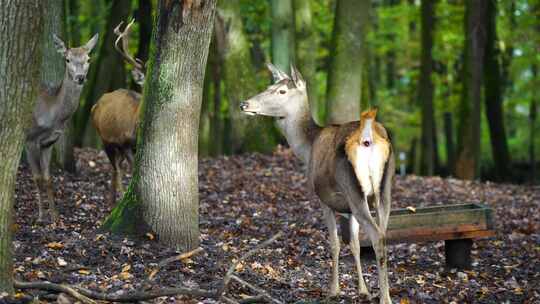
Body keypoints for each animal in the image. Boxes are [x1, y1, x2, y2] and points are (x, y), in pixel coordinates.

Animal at [25, 33, 99, 223]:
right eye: (67, 59)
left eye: (88, 58)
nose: (80, 77)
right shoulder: (29, 139)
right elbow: (37, 178)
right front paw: (41, 217)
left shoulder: (48, 142)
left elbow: (48, 178)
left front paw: (55, 217)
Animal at [91, 19, 146, 204]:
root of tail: (95, 104)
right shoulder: (125, 142)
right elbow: (131, 170)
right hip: (105, 139)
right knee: (116, 168)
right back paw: (113, 201)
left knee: (116, 167)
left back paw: (112, 199)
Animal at [239, 63, 392, 302]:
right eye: (269, 85)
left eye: (282, 91)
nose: (244, 104)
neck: (307, 148)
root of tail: (368, 138)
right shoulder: (347, 207)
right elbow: (355, 244)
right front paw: (363, 290)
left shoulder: (324, 199)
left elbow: (335, 243)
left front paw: (333, 290)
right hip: (383, 190)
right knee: (384, 234)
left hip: (353, 188)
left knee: (376, 236)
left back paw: (385, 298)